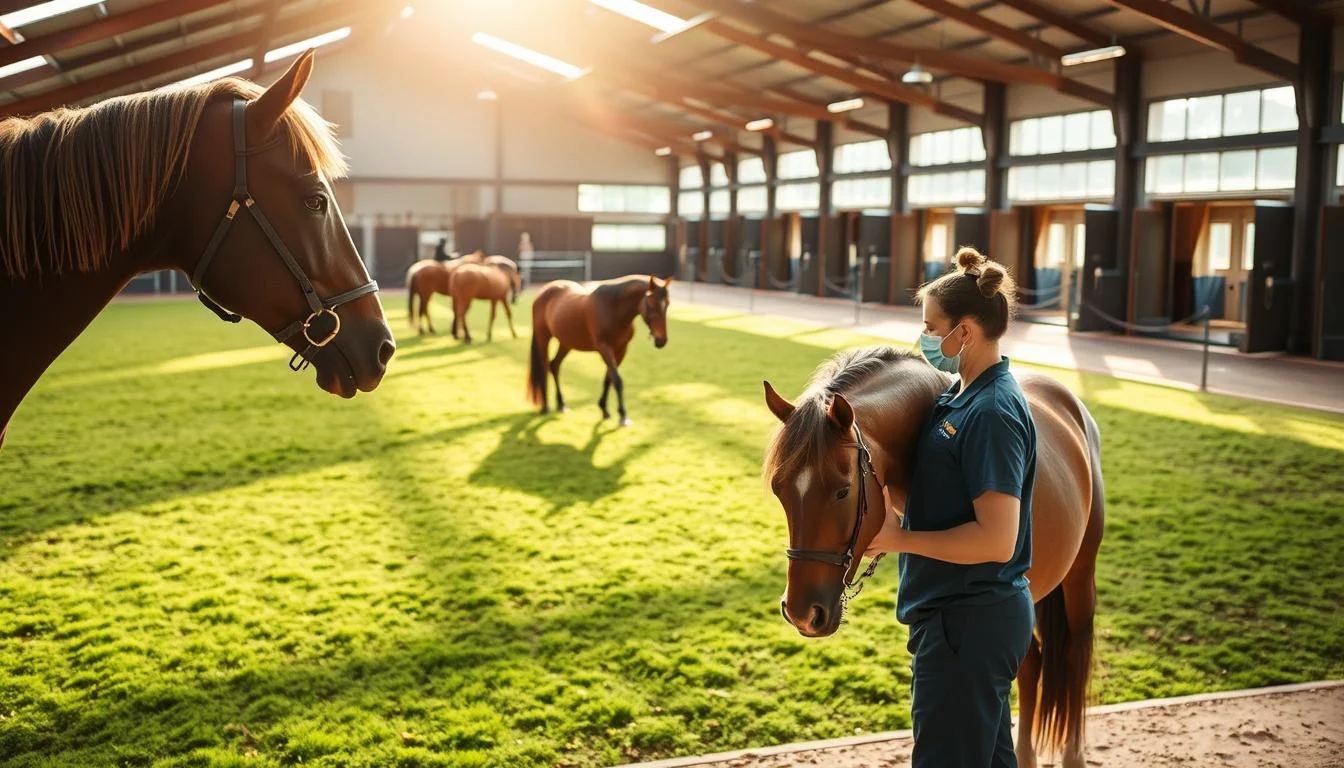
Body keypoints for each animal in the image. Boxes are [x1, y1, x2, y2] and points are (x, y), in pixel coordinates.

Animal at [527, 275, 672, 426]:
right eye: (651, 305)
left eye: (667, 304)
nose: (661, 340)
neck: (613, 309)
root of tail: (543, 292)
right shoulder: (604, 348)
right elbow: (617, 380)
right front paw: (623, 416)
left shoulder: (621, 350)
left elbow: (609, 378)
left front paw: (604, 409)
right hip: (543, 338)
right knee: (543, 368)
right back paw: (545, 407)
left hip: (565, 343)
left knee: (554, 365)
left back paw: (561, 404)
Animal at [761, 346, 1104, 768]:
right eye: (779, 490)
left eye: (842, 492)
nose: (801, 614)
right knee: (1032, 665)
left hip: (1078, 576)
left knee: (1072, 657)